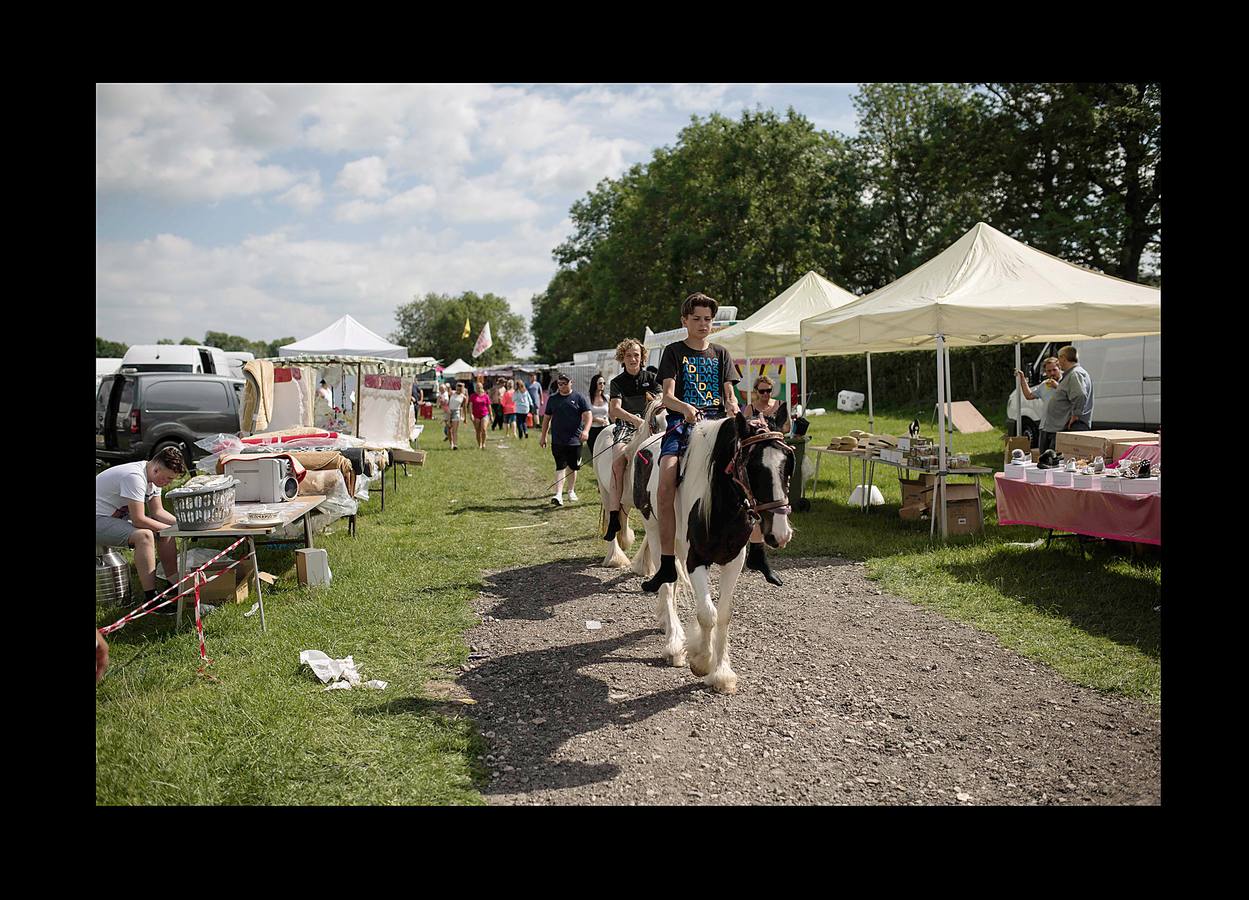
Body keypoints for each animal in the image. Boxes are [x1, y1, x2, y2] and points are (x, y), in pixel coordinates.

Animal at [639, 409, 794, 694]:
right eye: (753, 465)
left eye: (787, 462)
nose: (780, 533)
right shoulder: (696, 560)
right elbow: (706, 614)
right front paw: (702, 661)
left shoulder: (733, 561)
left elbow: (722, 615)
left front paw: (722, 672)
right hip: (655, 532)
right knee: (667, 583)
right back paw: (673, 644)